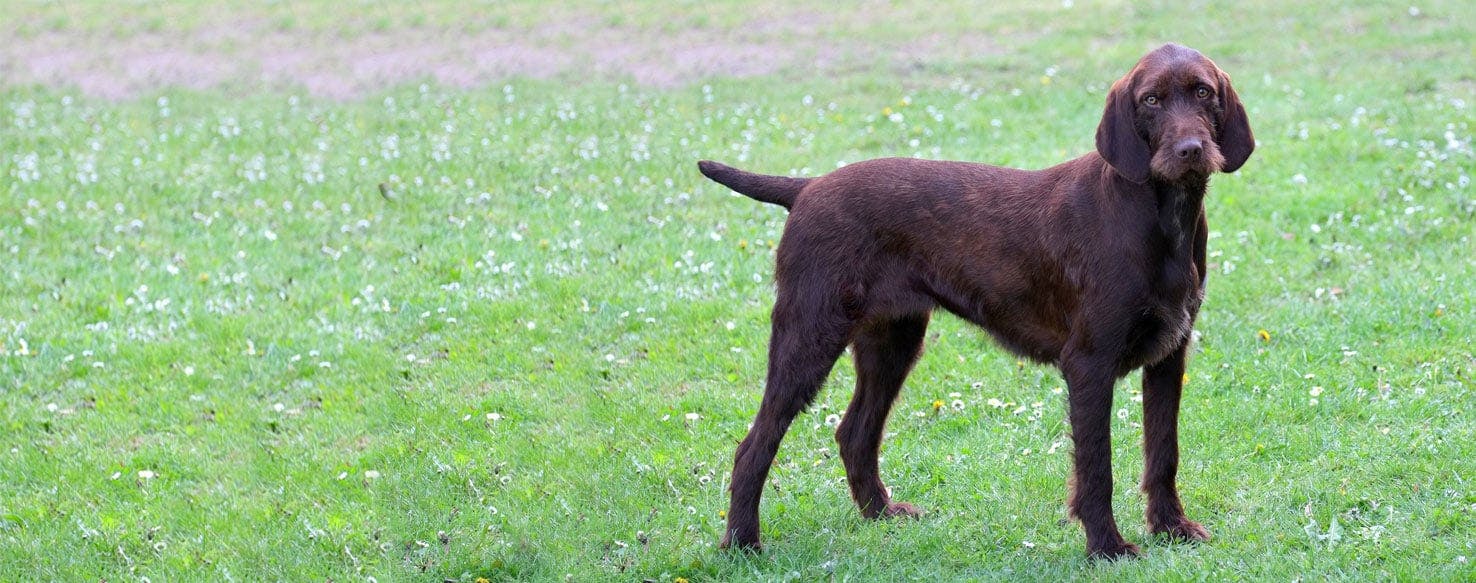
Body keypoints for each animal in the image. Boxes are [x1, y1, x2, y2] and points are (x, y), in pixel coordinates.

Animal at [696, 43, 1251, 557]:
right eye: (1151, 100)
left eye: (1203, 92)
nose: (1190, 149)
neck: (1159, 216)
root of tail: (807, 188)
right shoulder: (1089, 364)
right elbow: (1097, 468)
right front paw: (1106, 547)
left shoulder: (1168, 356)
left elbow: (1163, 453)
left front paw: (1171, 528)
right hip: (808, 337)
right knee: (754, 445)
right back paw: (742, 542)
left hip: (892, 341)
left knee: (854, 433)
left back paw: (880, 513)